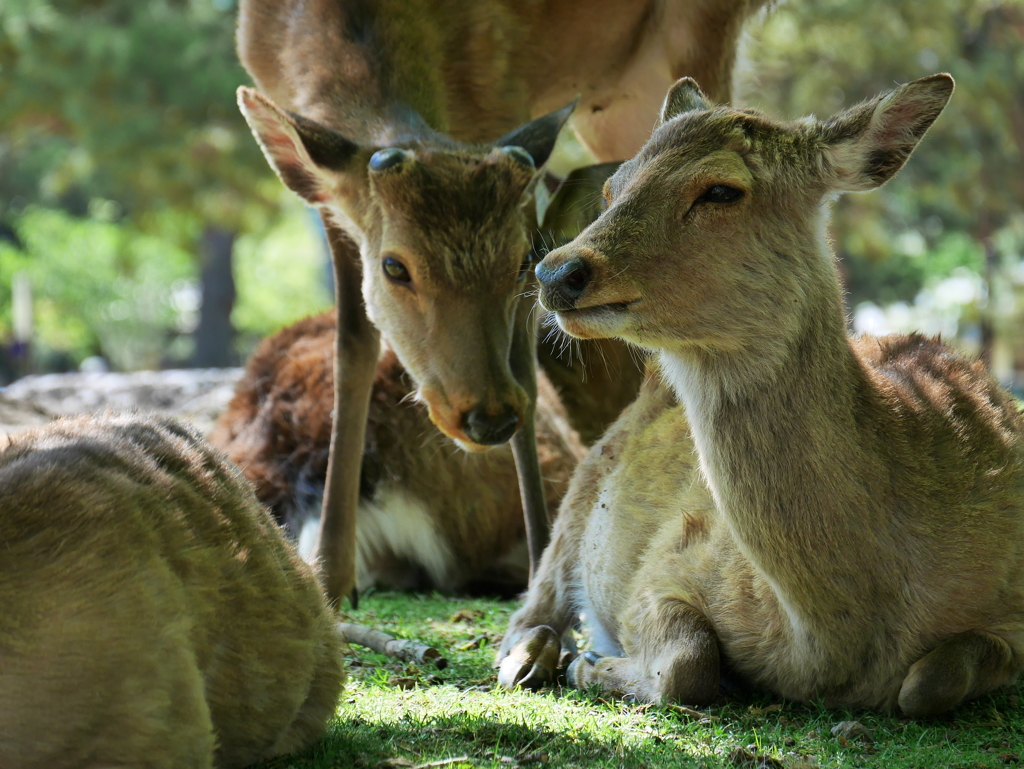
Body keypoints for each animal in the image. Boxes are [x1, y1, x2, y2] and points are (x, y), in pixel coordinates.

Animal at [495, 75, 1024, 720]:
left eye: (721, 189)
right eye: (613, 186)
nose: (557, 273)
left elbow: (930, 682)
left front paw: (593, 663)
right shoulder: (666, 563)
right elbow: (689, 660)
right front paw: (591, 663)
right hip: (580, 488)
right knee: (530, 604)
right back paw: (533, 660)